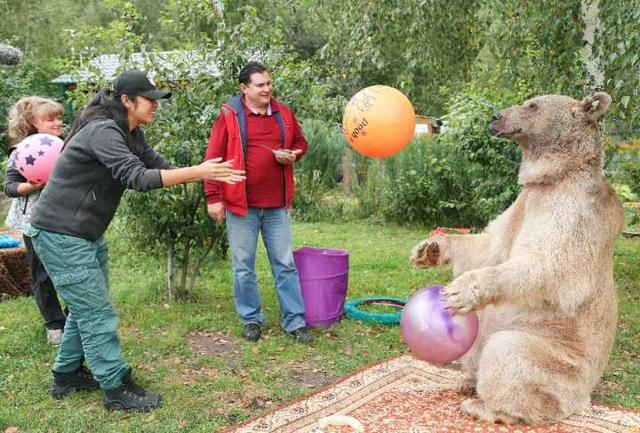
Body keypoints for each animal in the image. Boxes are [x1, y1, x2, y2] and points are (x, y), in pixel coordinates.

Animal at [408, 92, 624, 422]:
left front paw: (460, 290)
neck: (555, 177)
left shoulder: (573, 214)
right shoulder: (521, 204)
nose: (496, 117)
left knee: (509, 352)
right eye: (526, 101)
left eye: (533, 105)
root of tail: (583, 400)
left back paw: (487, 407)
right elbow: (490, 245)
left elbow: (547, 264)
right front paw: (430, 248)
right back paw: (467, 382)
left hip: (557, 360)